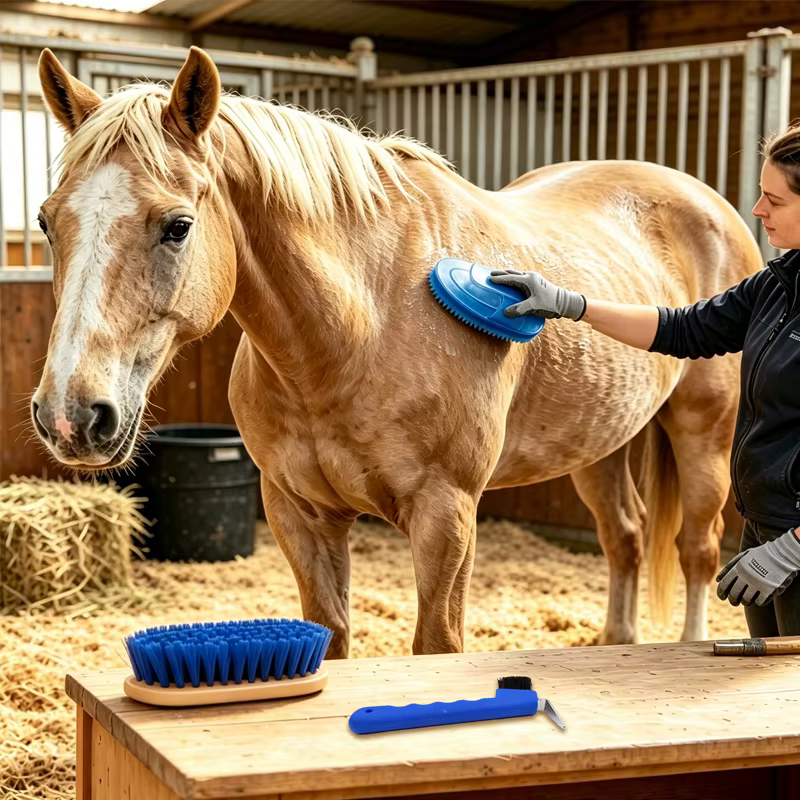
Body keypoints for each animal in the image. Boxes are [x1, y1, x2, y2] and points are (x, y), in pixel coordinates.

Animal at [31, 46, 762, 658]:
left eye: (178, 226)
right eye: (46, 220)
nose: (71, 414)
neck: (361, 328)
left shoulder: (446, 516)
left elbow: (437, 644)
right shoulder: (300, 514)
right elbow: (329, 637)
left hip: (703, 430)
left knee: (697, 548)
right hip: (598, 444)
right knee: (627, 538)